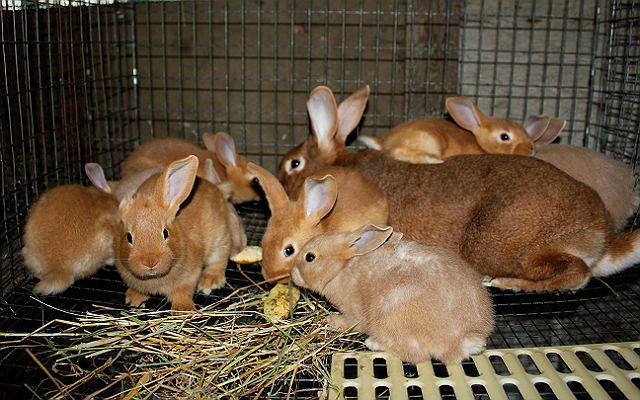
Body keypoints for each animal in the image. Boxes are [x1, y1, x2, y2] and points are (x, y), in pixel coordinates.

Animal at [115, 155, 232, 311]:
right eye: (129, 237)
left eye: (165, 233)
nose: (150, 261)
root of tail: (215, 187)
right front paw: (133, 298)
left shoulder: (190, 276)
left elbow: (182, 292)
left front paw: (183, 308)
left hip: (219, 237)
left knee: (219, 259)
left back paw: (210, 281)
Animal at [290, 225, 493, 364]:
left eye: (310, 257)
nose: (292, 274)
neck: (341, 269)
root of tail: (467, 336)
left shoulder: (353, 314)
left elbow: (351, 323)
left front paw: (331, 320)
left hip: (390, 314)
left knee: (415, 355)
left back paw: (373, 343)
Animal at [358, 96, 553, 164]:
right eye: (505, 136)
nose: (531, 149)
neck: (480, 144)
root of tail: (383, 142)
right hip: (428, 140)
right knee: (398, 152)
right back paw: (433, 159)